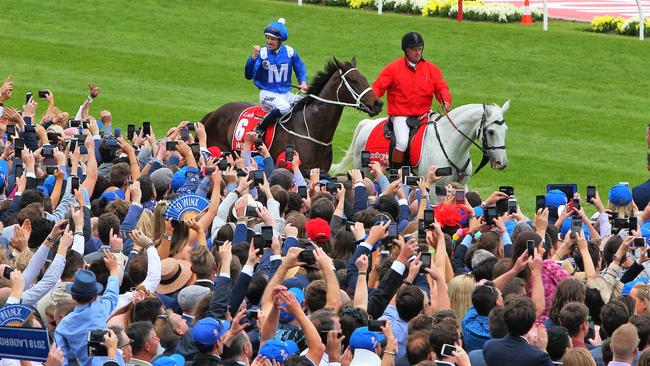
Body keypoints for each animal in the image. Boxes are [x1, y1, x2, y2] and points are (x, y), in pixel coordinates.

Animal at [332, 101, 508, 184]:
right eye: (491, 132)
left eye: (506, 130)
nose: (502, 163)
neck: (449, 144)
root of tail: (366, 124)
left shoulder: (461, 186)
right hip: (366, 173)